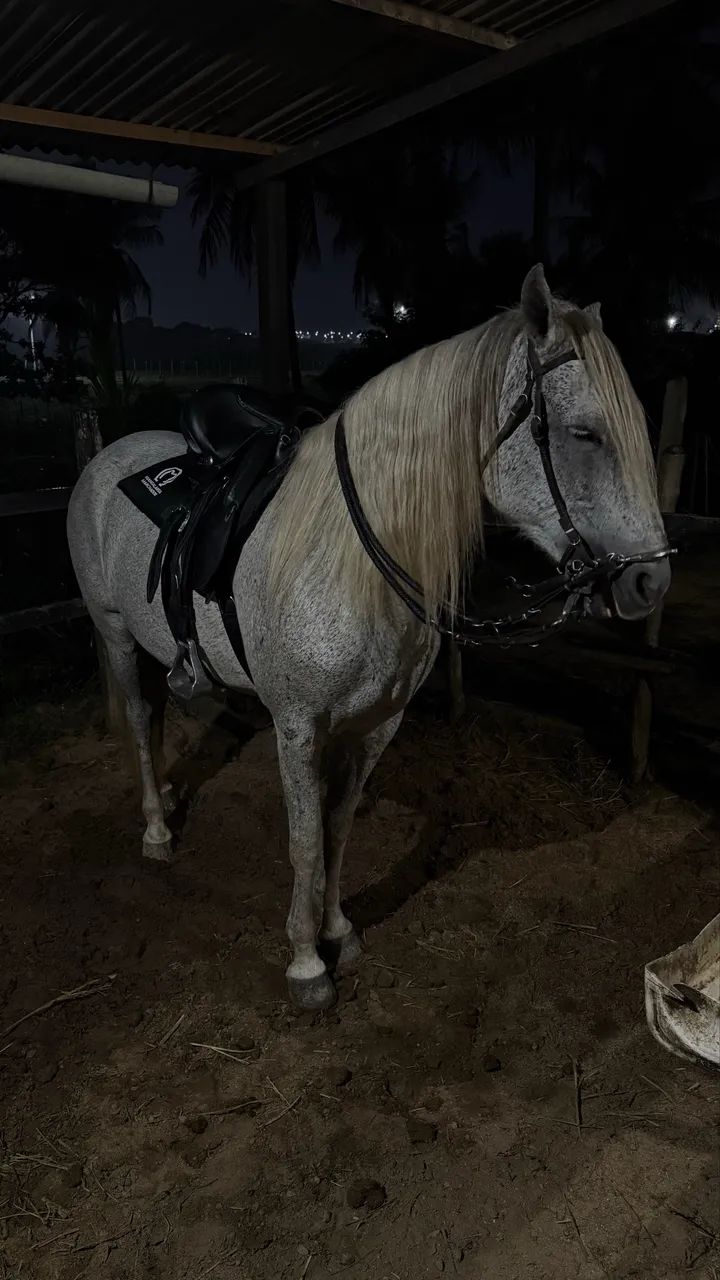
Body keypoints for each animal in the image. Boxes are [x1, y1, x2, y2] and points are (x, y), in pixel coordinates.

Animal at [67, 265, 671, 1011]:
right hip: (115, 633)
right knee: (140, 721)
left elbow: (339, 828)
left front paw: (338, 932)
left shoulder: (378, 723)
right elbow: (303, 842)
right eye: (585, 434)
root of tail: (104, 457)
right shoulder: (297, 726)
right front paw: (305, 962)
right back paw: (156, 827)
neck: (356, 555)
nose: (651, 580)